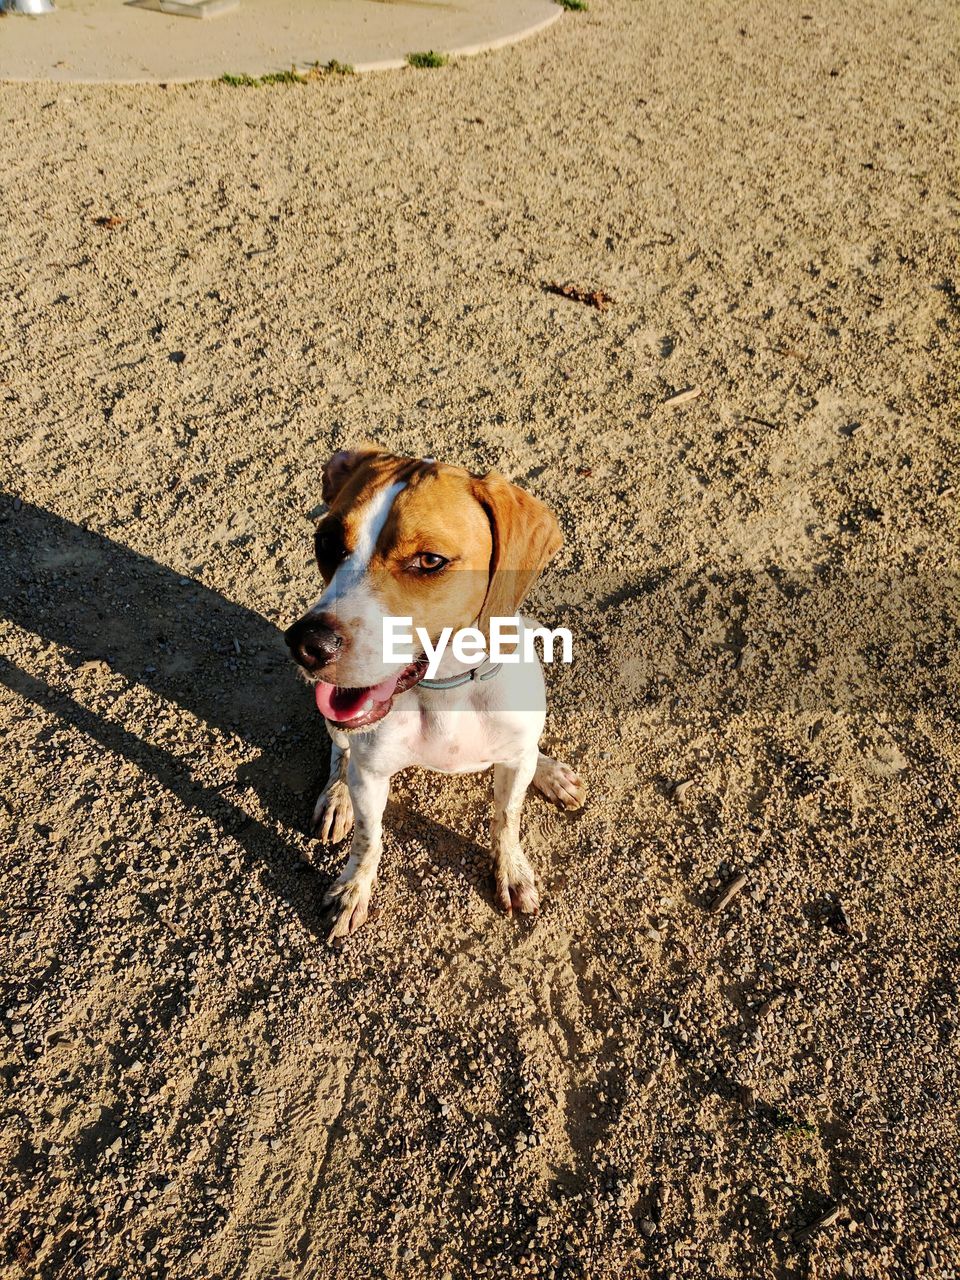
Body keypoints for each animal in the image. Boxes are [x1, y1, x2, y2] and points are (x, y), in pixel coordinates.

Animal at [285, 450, 586, 942]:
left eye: (429, 560)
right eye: (326, 542)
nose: (307, 644)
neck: (447, 689)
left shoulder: (510, 769)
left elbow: (507, 818)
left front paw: (511, 870)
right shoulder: (372, 776)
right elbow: (368, 838)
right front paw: (352, 889)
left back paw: (548, 771)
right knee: (340, 753)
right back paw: (337, 797)